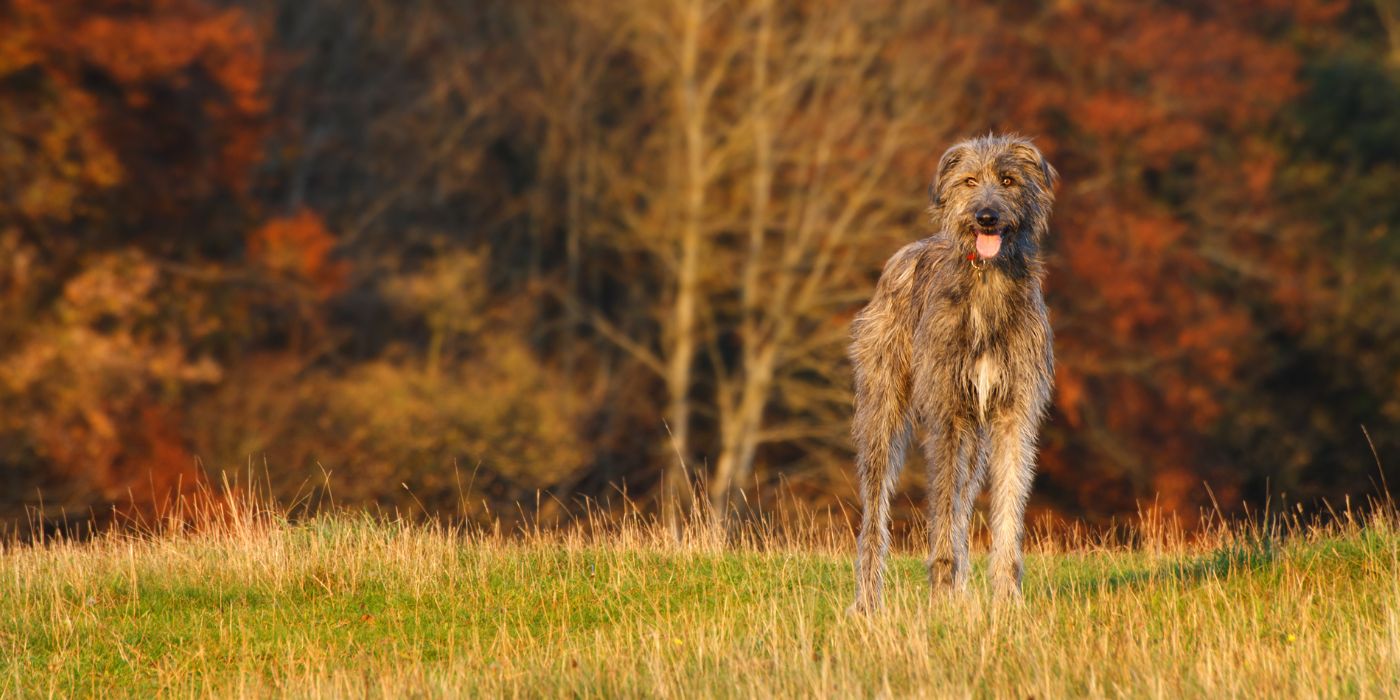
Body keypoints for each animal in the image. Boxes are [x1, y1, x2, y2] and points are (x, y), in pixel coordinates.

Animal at [845, 133, 1052, 610]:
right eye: (969, 181)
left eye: (1008, 180)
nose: (986, 217)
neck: (987, 283)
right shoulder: (949, 415)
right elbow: (941, 509)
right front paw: (940, 595)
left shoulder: (1013, 413)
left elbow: (1007, 505)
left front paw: (1007, 600)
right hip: (881, 410)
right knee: (877, 510)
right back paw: (867, 600)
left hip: (976, 437)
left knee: (962, 503)